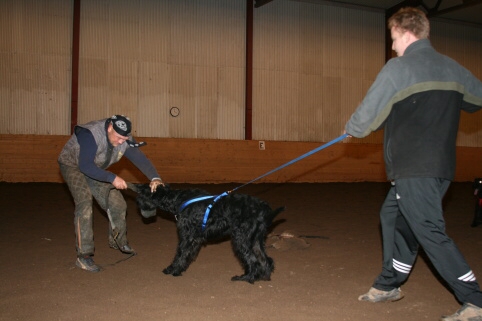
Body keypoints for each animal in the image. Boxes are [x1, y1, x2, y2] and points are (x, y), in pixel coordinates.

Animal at [133, 182, 282, 282]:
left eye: (141, 194)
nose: (137, 202)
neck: (177, 199)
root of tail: (264, 208)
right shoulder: (194, 238)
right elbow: (186, 254)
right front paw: (178, 269)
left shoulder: (187, 236)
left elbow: (180, 253)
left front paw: (173, 269)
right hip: (255, 240)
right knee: (265, 259)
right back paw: (264, 276)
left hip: (242, 239)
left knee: (252, 260)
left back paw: (246, 277)